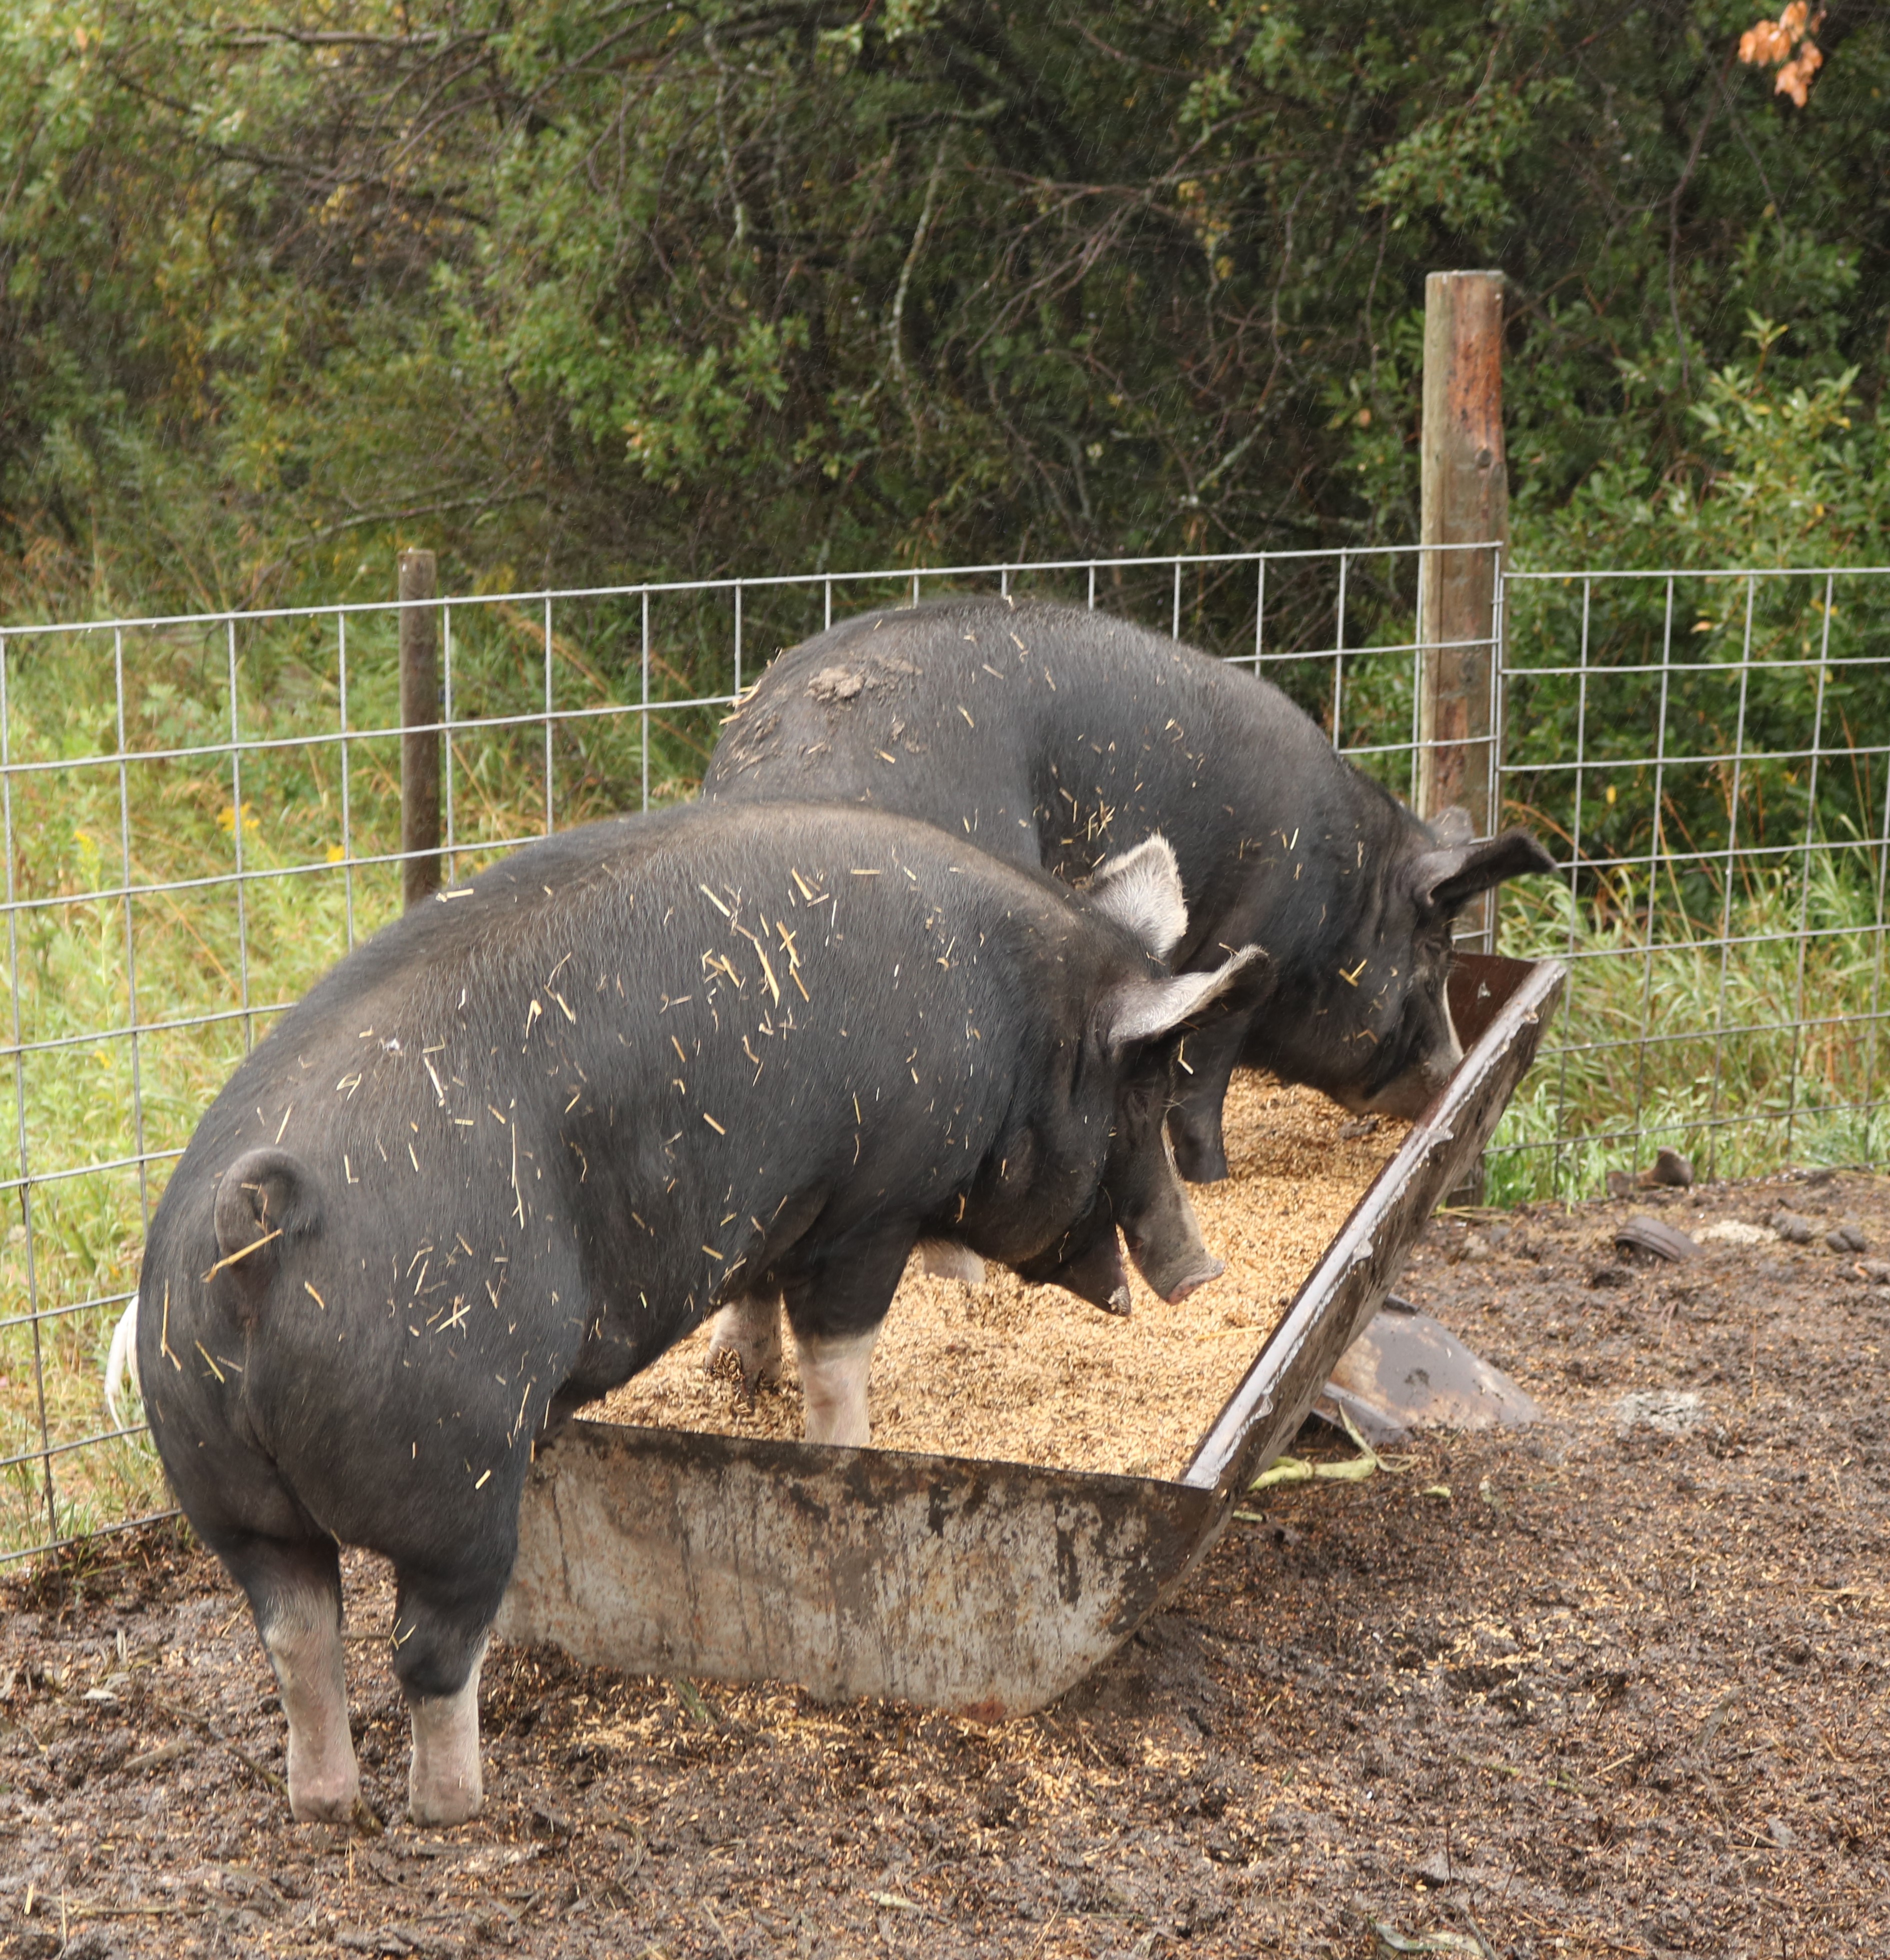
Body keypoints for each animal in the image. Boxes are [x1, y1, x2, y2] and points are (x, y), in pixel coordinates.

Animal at [134, 801, 1263, 1825]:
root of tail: (255, 1218)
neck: (1020, 1013)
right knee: (425, 1650)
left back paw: (331, 1807)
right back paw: (460, 1810)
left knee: (296, 1634)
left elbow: (757, 1297)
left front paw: (739, 1378)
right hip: (452, 1466)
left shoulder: (774, 1206)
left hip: (217, 1478)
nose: (1204, 1270)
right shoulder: (871, 1202)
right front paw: (851, 1449)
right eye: (1139, 1093)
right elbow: (838, 1349)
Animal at [703, 597, 1556, 1181]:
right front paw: (1212, 1178)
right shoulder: (1247, 941)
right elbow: (1200, 1092)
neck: (1340, 899)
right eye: (1435, 953)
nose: (1451, 1074)